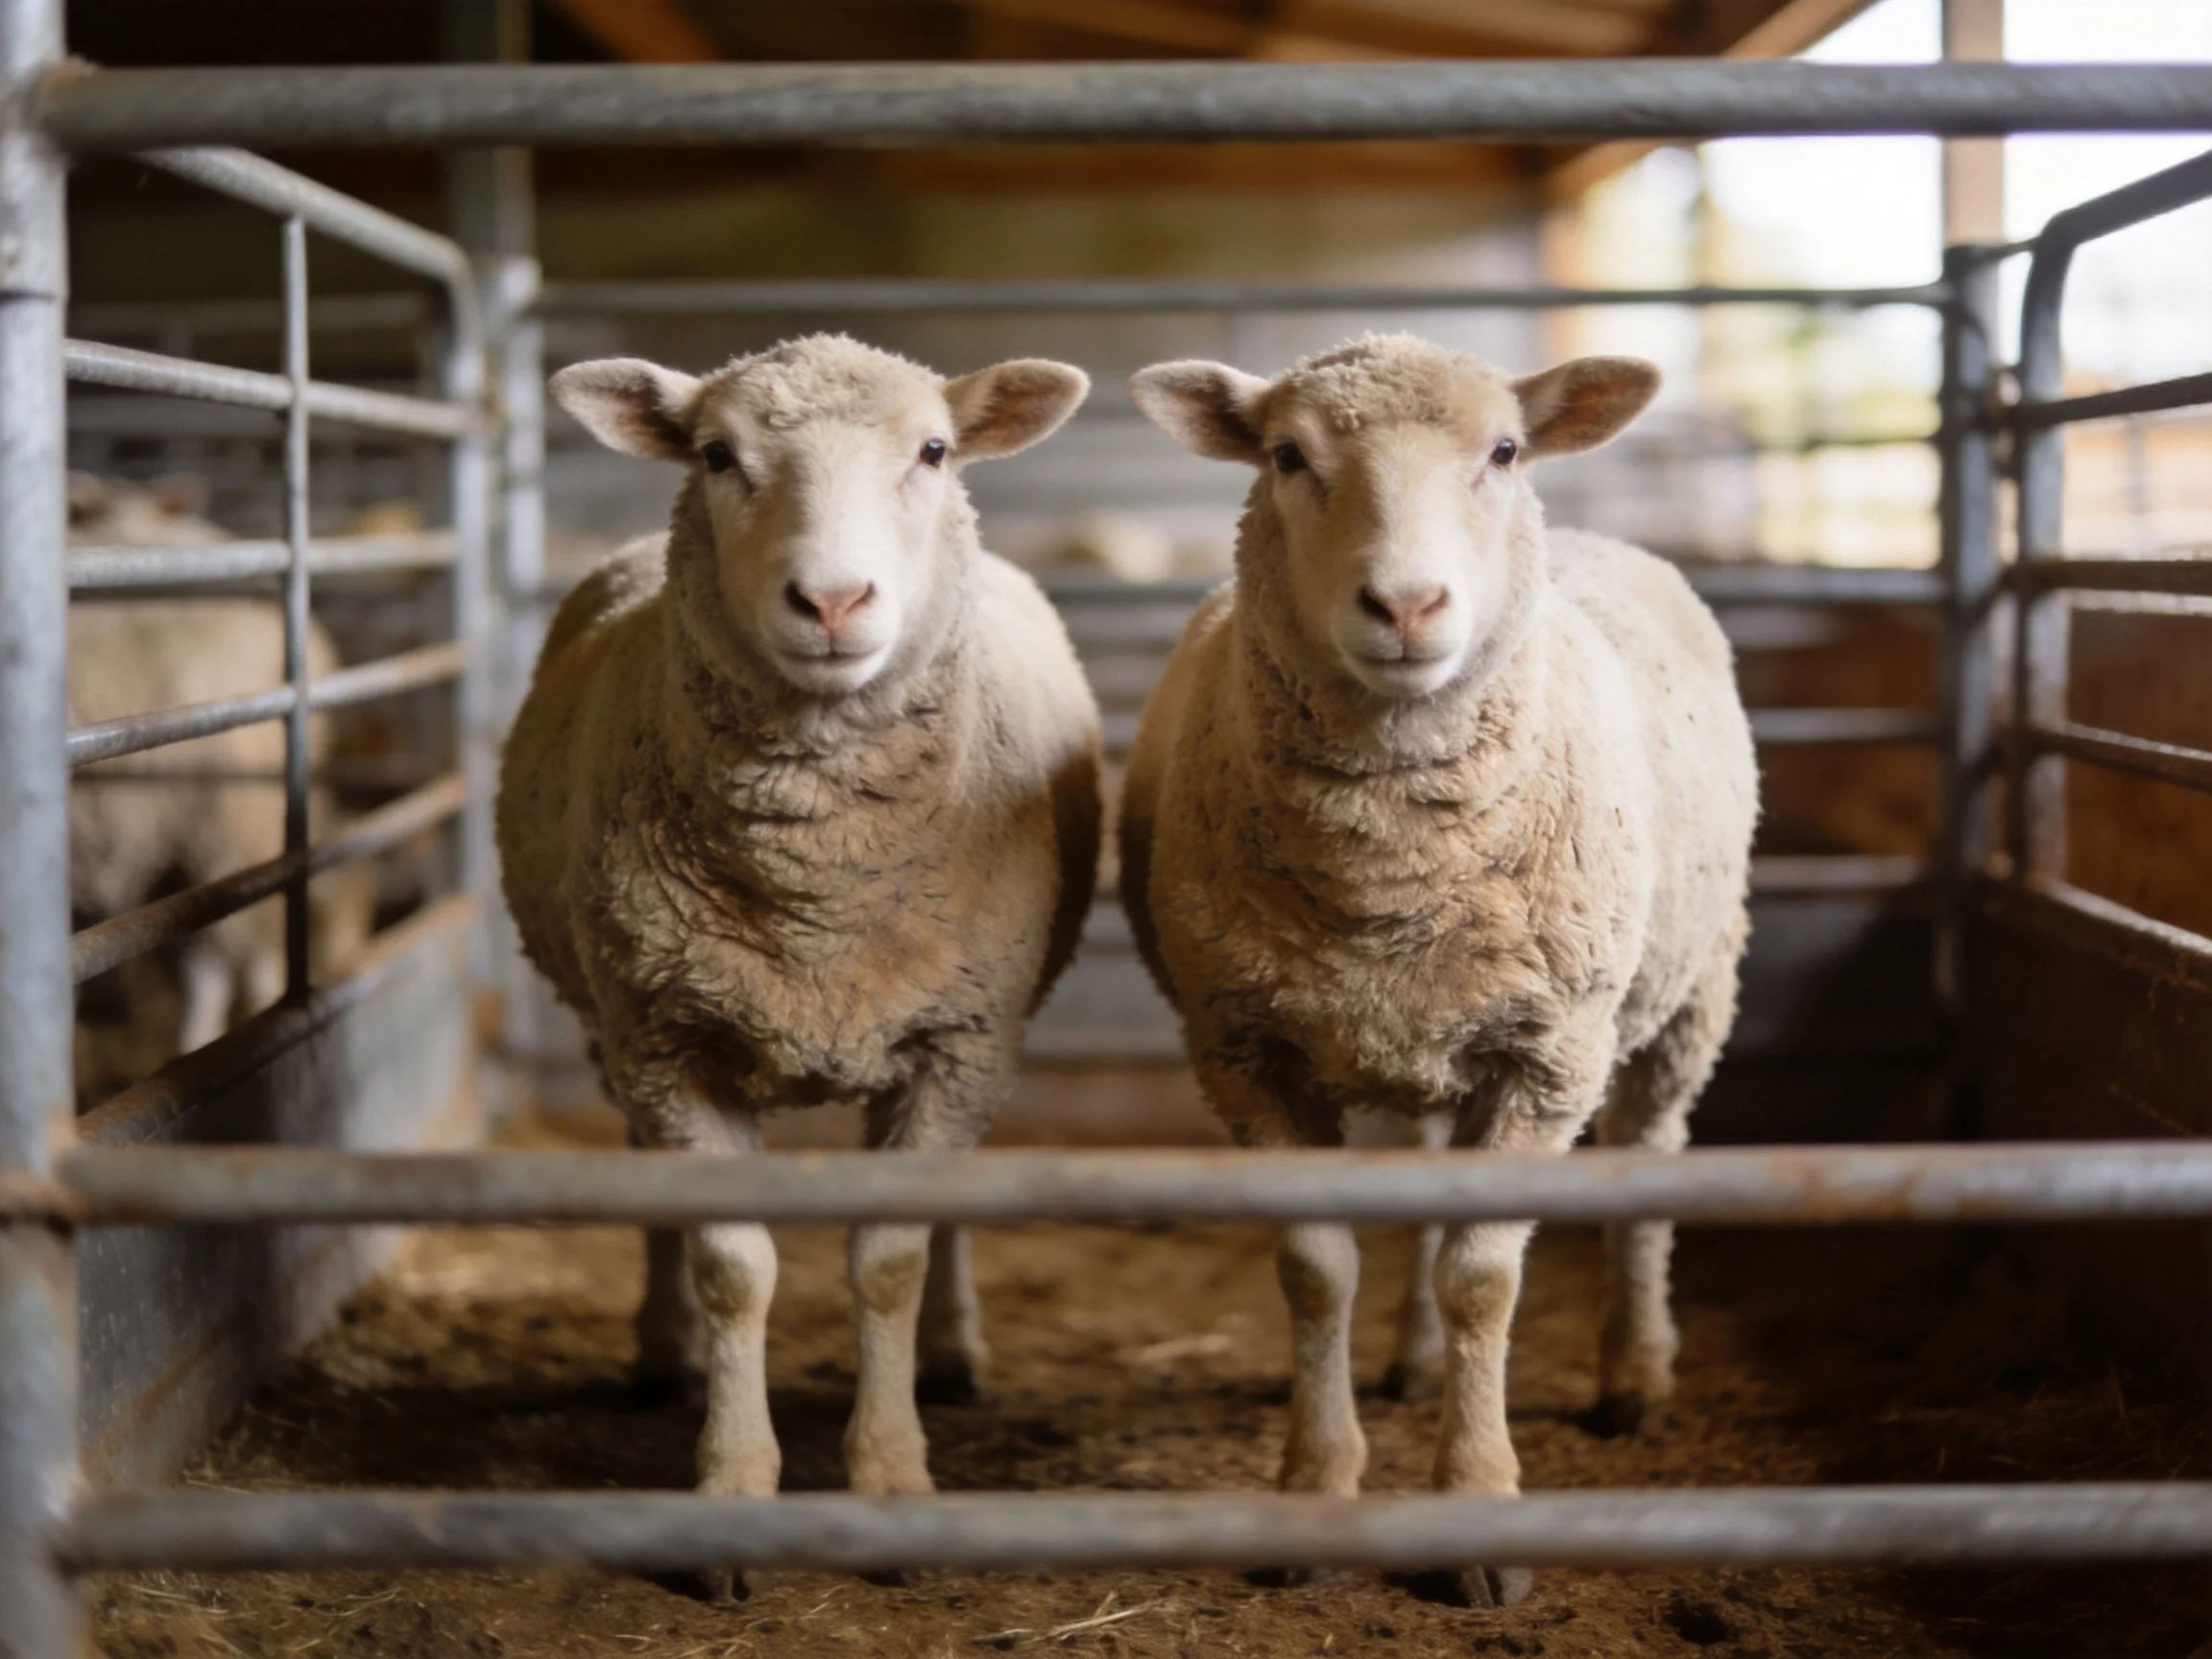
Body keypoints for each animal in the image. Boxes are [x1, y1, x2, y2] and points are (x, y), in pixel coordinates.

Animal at [497, 335, 1101, 1599]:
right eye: (718, 455)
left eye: (934, 451)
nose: (831, 601)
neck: (818, 901)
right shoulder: (669, 1037)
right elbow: (736, 1267)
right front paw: (731, 1488)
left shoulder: (958, 1039)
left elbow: (890, 1262)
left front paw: (892, 1476)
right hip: (616, 1023)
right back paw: (664, 1354)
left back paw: (950, 1353)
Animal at [1120, 335, 1758, 1608]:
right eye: (1287, 455)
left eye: (1503, 451)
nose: (1408, 606)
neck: (1389, 878)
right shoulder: (1245, 1050)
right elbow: (1317, 1271)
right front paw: (1316, 1489)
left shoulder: (1548, 1055)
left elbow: (1483, 1280)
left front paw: (1476, 1510)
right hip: (1423, 1027)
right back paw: (1414, 1365)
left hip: (1687, 992)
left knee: (1650, 1159)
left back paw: (1635, 1376)